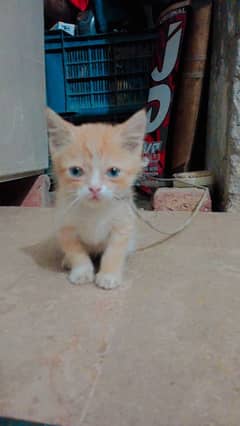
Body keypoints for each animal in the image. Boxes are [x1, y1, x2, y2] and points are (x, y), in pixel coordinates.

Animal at [46, 108, 145, 292]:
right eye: (75, 171)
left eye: (113, 171)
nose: (95, 188)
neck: (94, 211)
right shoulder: (64, 226)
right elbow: (76, 252)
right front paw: (81, 271)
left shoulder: (123, 224)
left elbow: (114, 252)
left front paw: (109, 275)